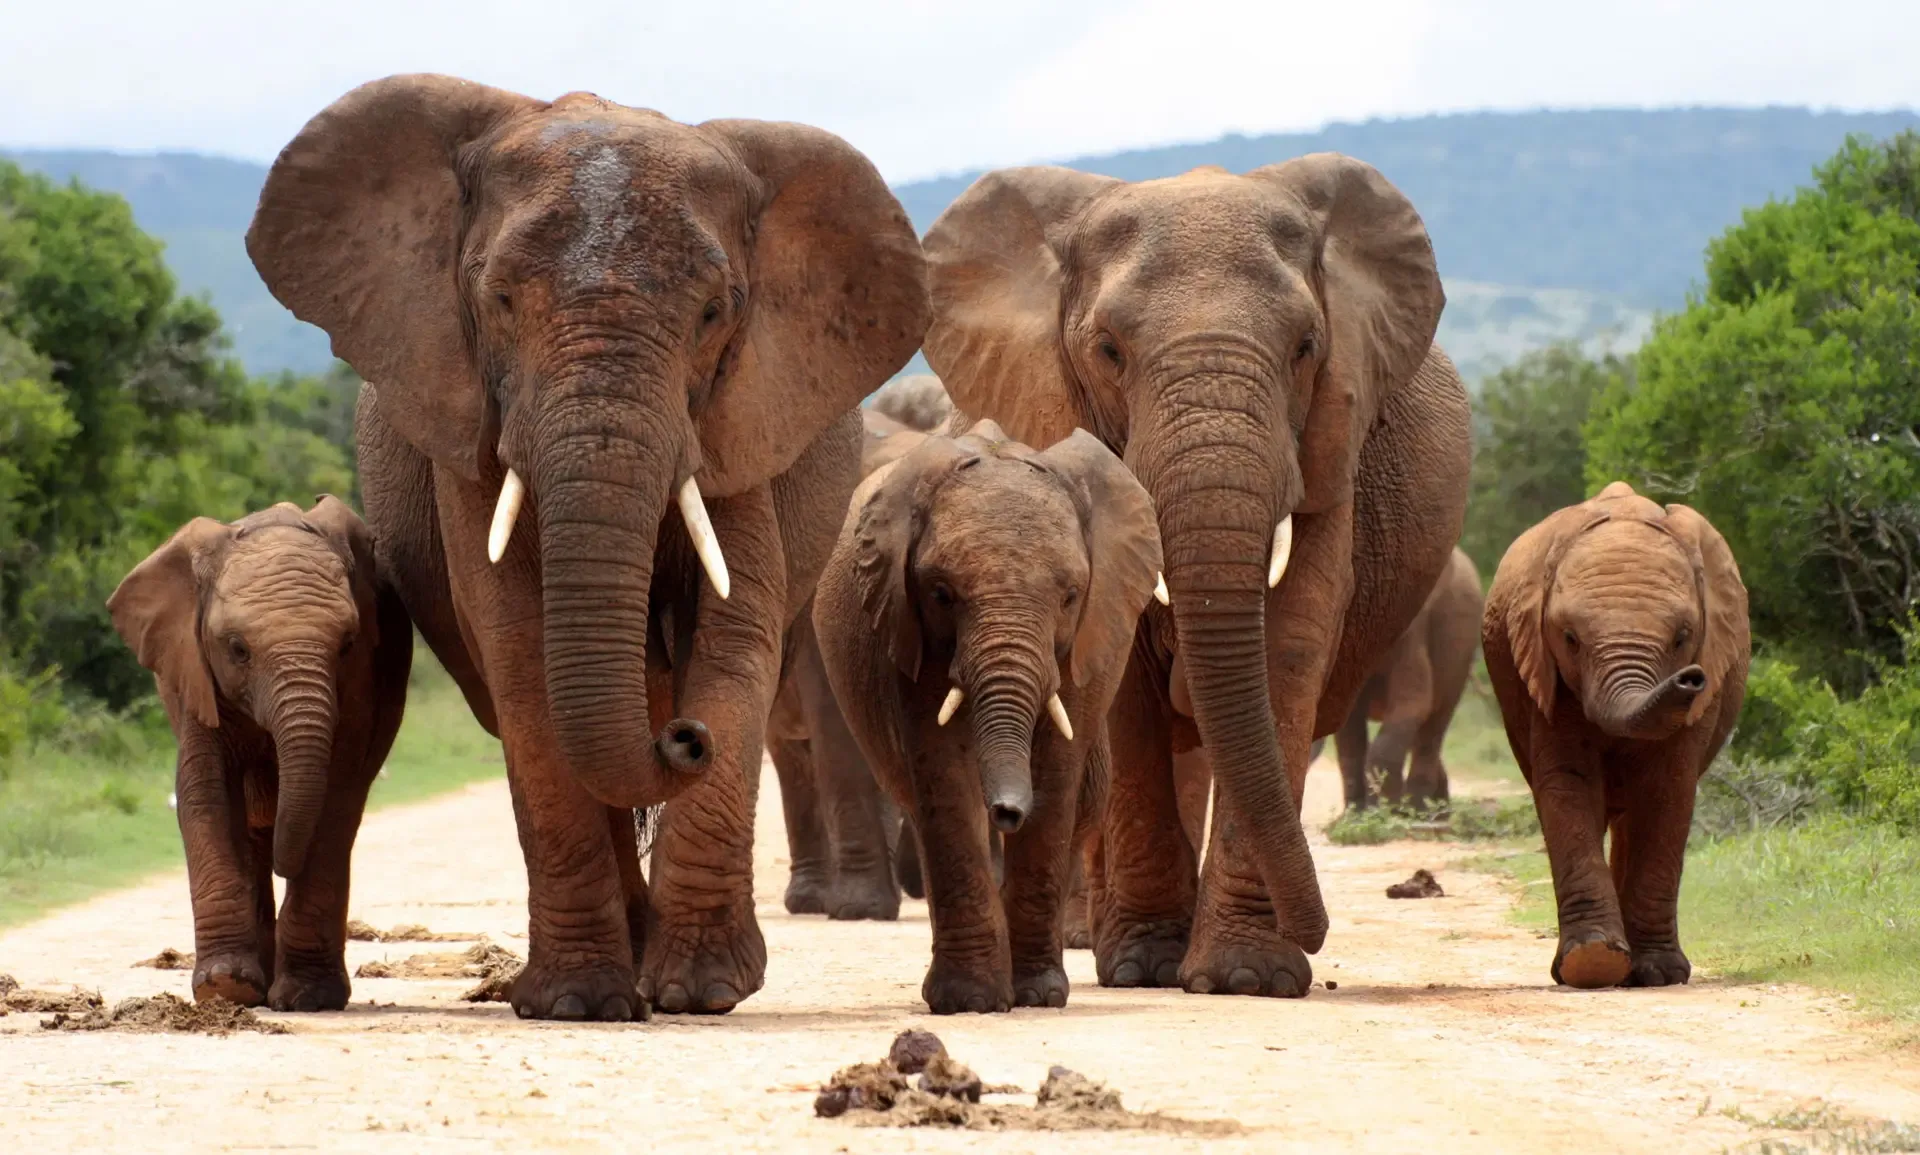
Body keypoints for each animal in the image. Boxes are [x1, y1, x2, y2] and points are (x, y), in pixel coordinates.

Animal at [107, 498, 411, 1011]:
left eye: (347, 645)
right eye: (237, 649)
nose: (283, 863)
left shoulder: (362, 684)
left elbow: (336, 800)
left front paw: (308, 997)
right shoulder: (194, 672)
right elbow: (204, 792)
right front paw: (223, 987)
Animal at [246, 75, 927, 1020]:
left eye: (715, 313)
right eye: (497, 300)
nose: (683, 738)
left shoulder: (743, 416)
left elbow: (735, 633)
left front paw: (702, 992)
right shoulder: (469, 419)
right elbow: (519, 646)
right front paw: (576, 1002)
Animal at [813, 422, 1162, 1012]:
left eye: (1071, 596)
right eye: (941, 593)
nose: (1006, 809)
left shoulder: (1089, 639)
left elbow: (1056, 776)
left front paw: (1037, 995)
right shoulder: (906, 627)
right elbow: (943, 775)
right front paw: (969, 1000)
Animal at [1327, 546, 1483, 810]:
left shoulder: (1413, 629)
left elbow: (1414, 703)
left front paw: (1383, 810)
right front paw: (1356, 814)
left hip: (1461, 652)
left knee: (1433, 726)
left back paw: (1420, 810)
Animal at [1482, 482, 1749, 989]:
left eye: (1683, 636)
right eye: (1570, 638)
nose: (1690, 680)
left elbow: (1667, 791)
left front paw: (1658, 974)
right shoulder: (1546, 678)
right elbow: (1568, 783)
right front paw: (1591, 963)